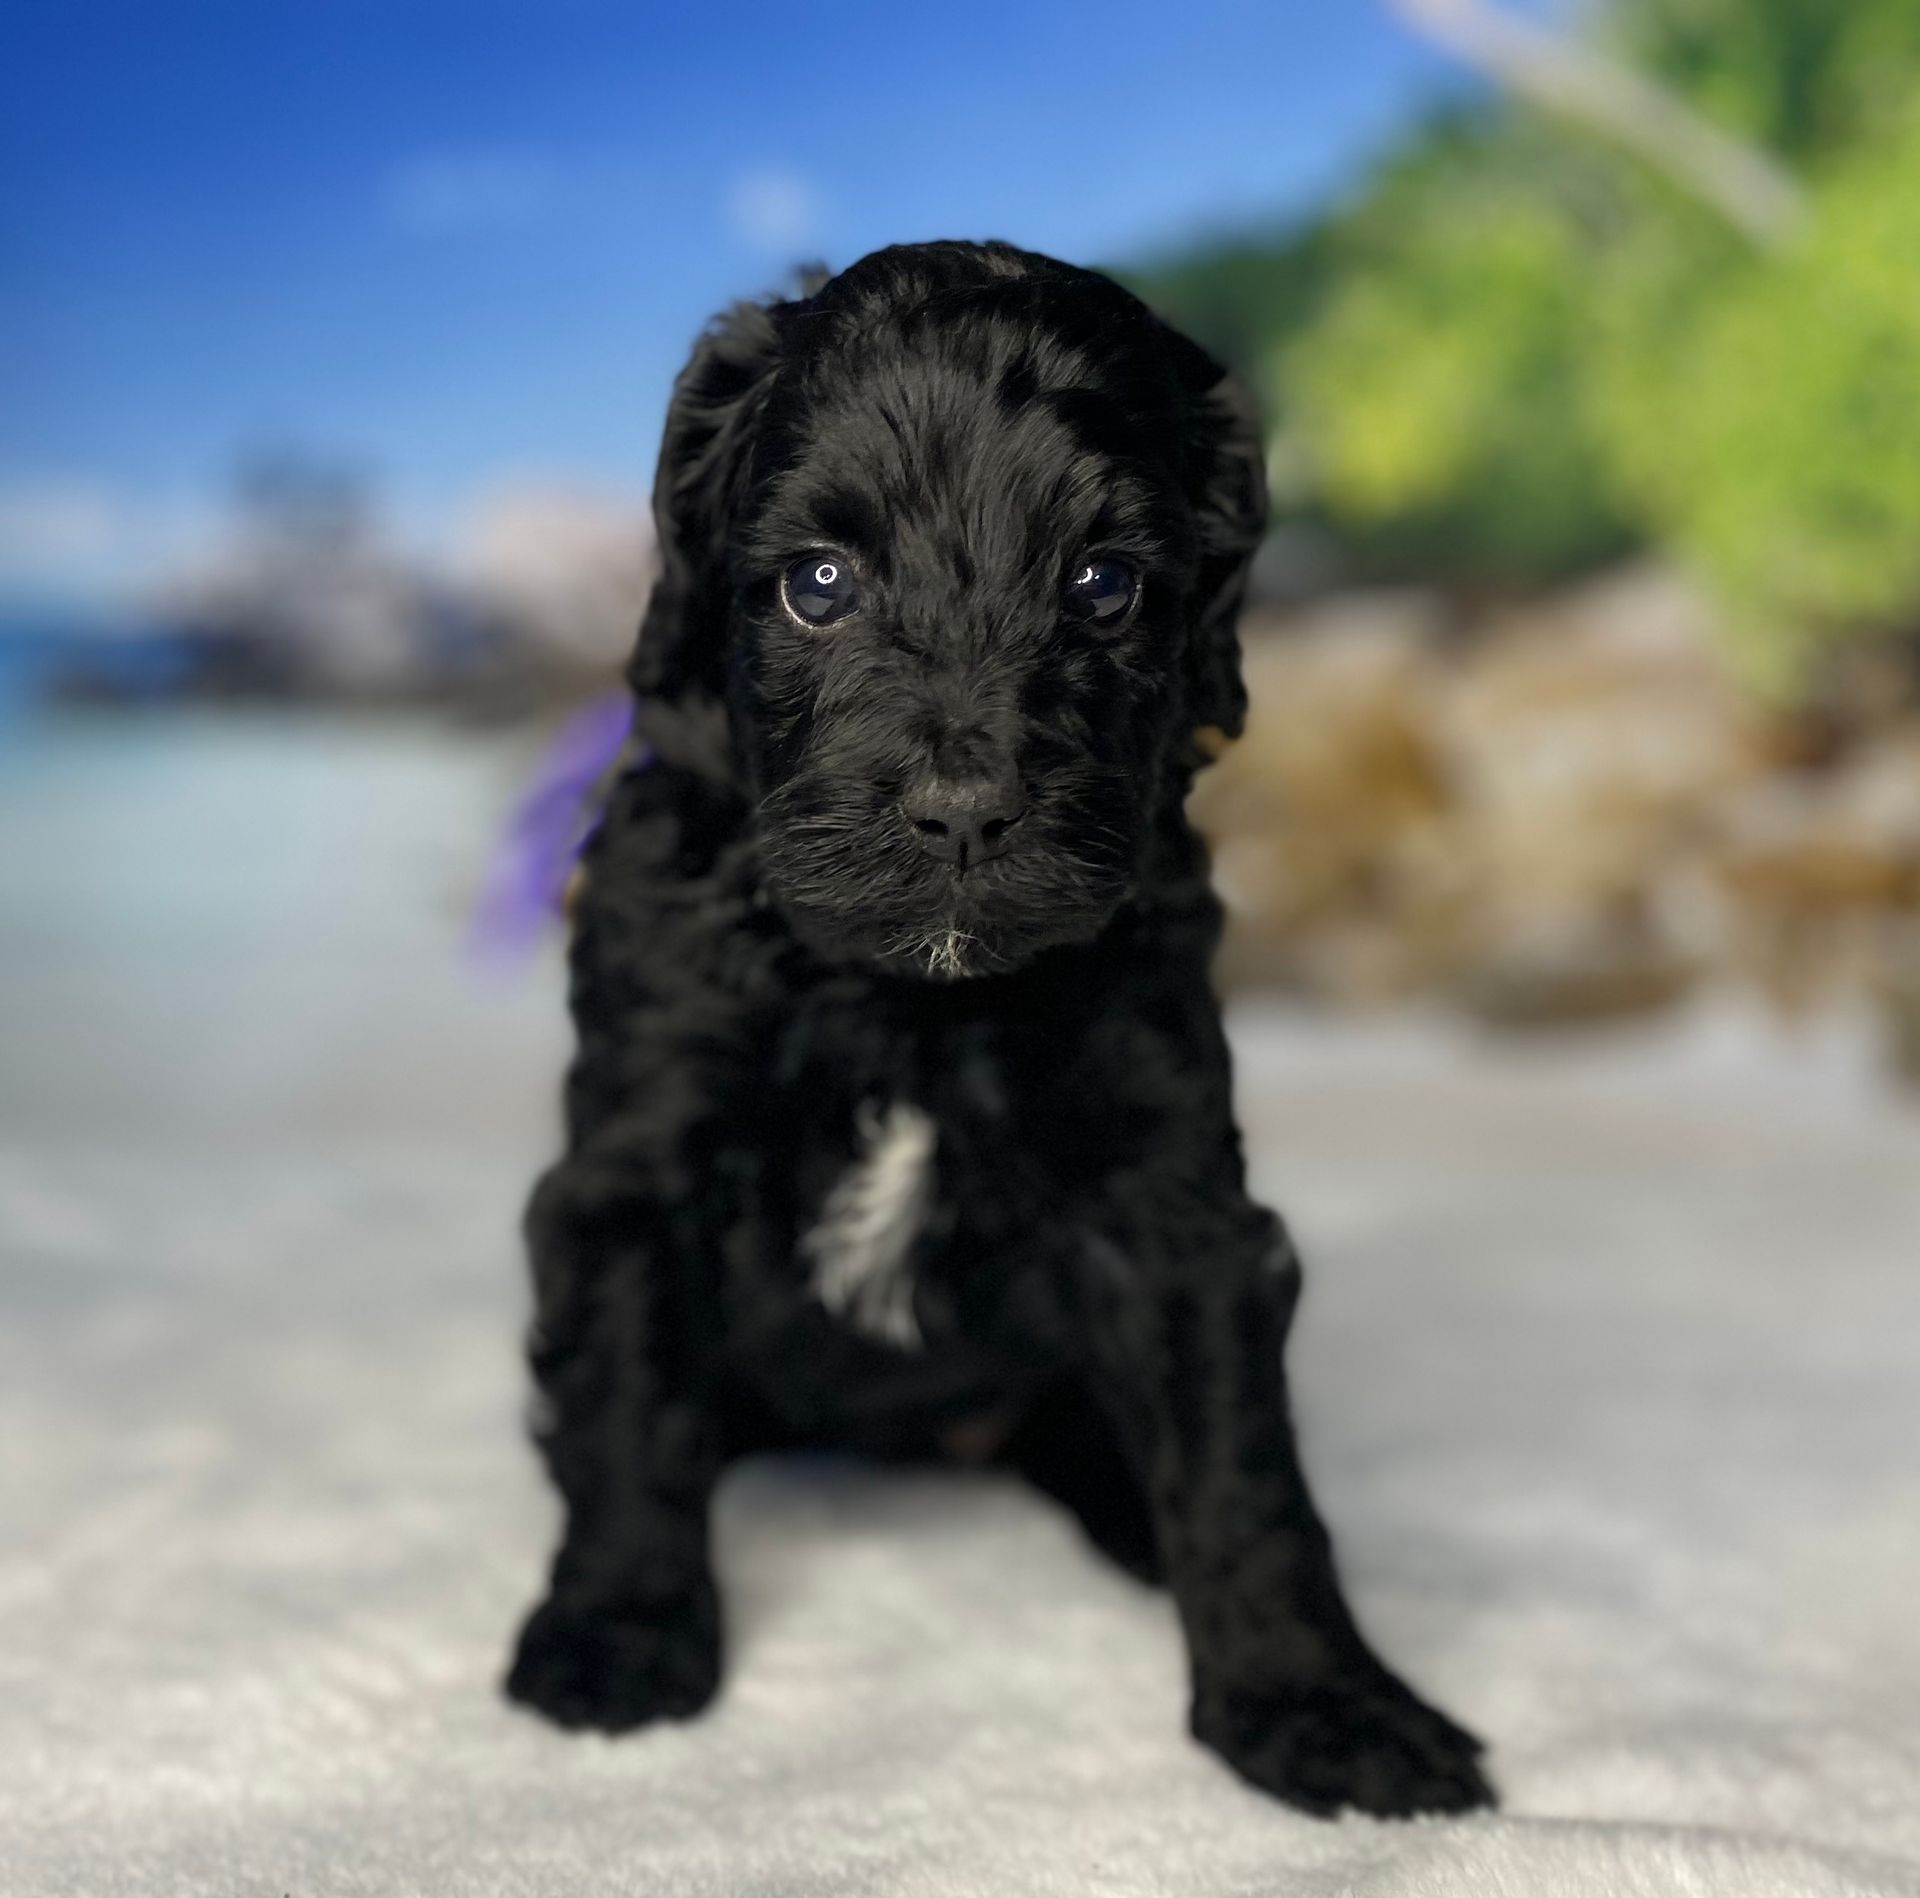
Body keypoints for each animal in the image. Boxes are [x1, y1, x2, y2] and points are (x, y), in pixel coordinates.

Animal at [503, 240, 1489, 1819]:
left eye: (1104, 584)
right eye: (819, 584)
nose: (964, 812)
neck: (910, 995)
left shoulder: (1171, 1187)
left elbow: (1242, 1458)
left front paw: (1319, 1700)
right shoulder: (642, 1154)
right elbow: (630, 1395)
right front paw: (617, 1632)